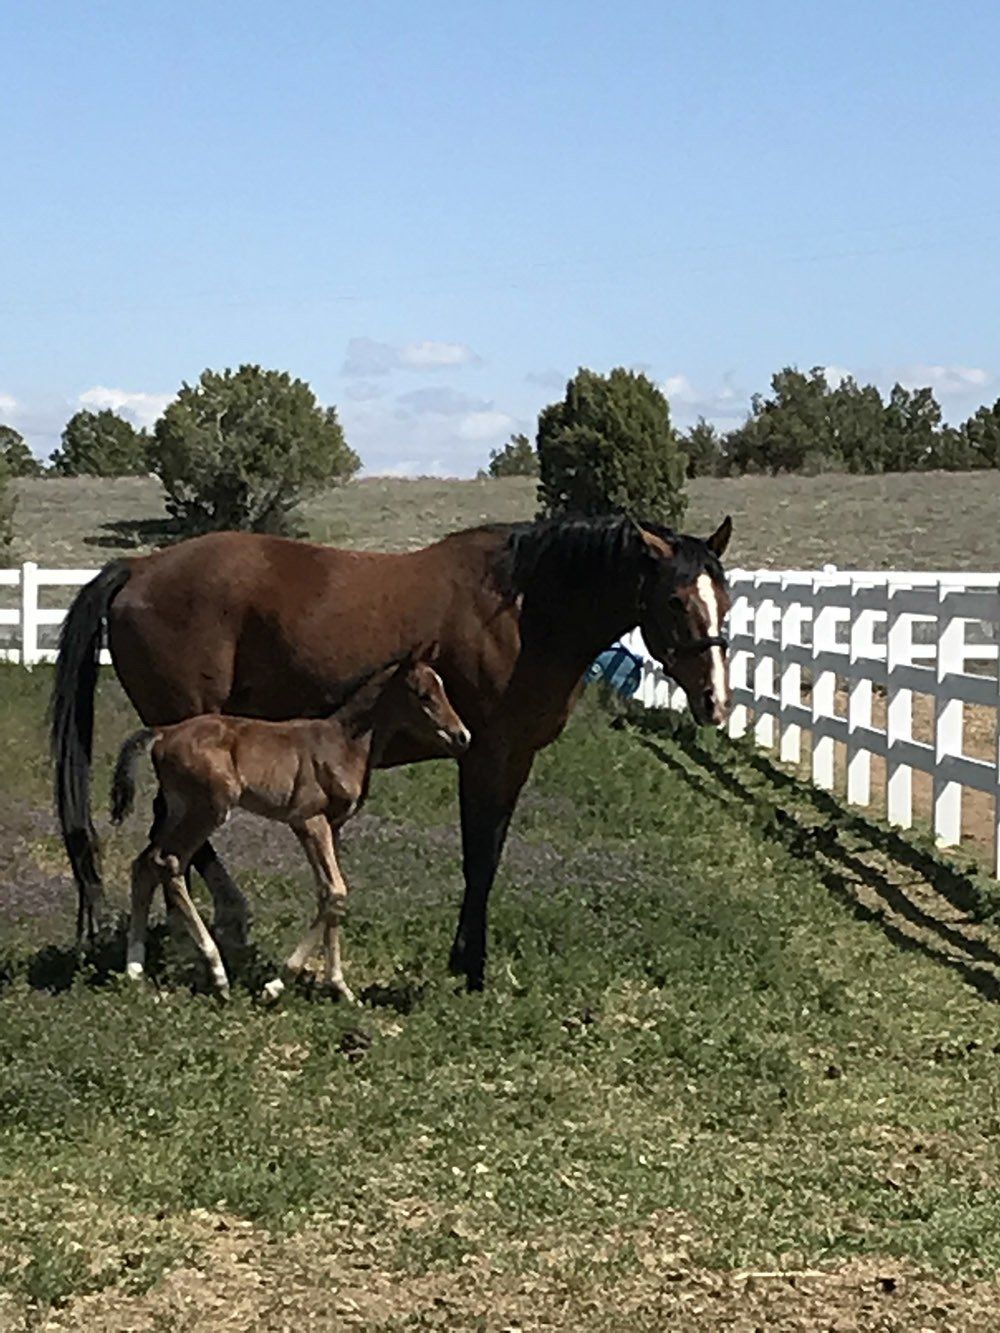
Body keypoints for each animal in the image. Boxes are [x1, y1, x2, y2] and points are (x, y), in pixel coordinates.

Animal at [110, 651, 470, 1002]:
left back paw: (134, 969)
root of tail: (163, 732)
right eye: (424, 694)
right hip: (208, 809)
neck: (345, 744)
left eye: (442, 688)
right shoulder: (308, 821)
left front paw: (340, 987)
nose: (462, 736)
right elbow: (335, 891)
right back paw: (217, 972)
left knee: (145, 864)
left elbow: (332, 895)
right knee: (167, 861)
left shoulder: (334, 826)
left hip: (180, 809)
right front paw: (278, 983)